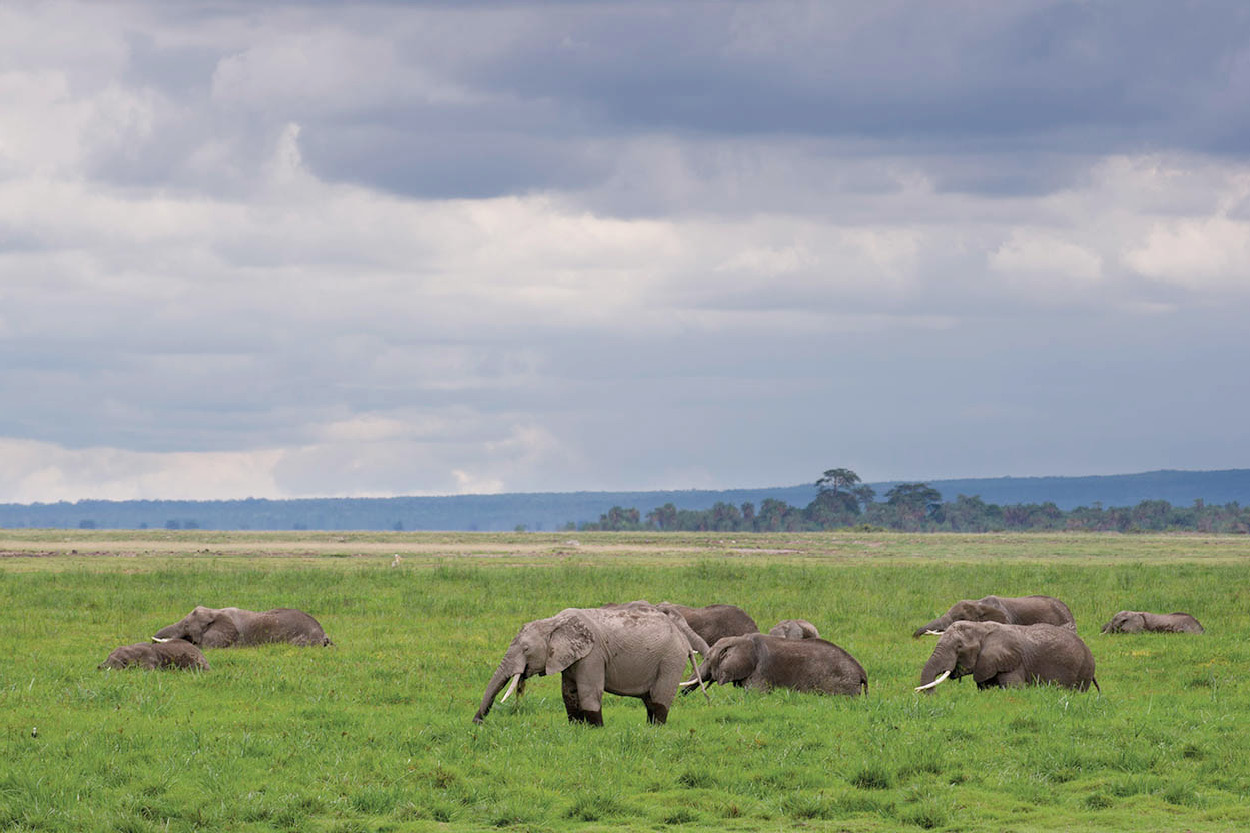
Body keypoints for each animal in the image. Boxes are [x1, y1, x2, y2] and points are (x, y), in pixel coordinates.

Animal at [470, 600, 695, 725]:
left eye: (526, 649)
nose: (477, 722)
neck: (553, 622)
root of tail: (683, 638)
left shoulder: (592, 655)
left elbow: (589, 692)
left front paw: (595, 730)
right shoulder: (569, 657)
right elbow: (568, 693)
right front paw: (576, 728)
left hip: (671, 660)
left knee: (659, 698)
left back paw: (657, 728)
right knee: (649, 700)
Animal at [685, 630, 870, 695]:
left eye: (707, 658)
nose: (682, 697)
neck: (741, 639)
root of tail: (862, 672)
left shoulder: (760, 671)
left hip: (842, 683)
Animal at [915, 620, 1100, 690]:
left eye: (959, 647)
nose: (934, 696)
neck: (982, 627)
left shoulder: (1013, 663)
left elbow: (1013, 688)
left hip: (1084, 669)